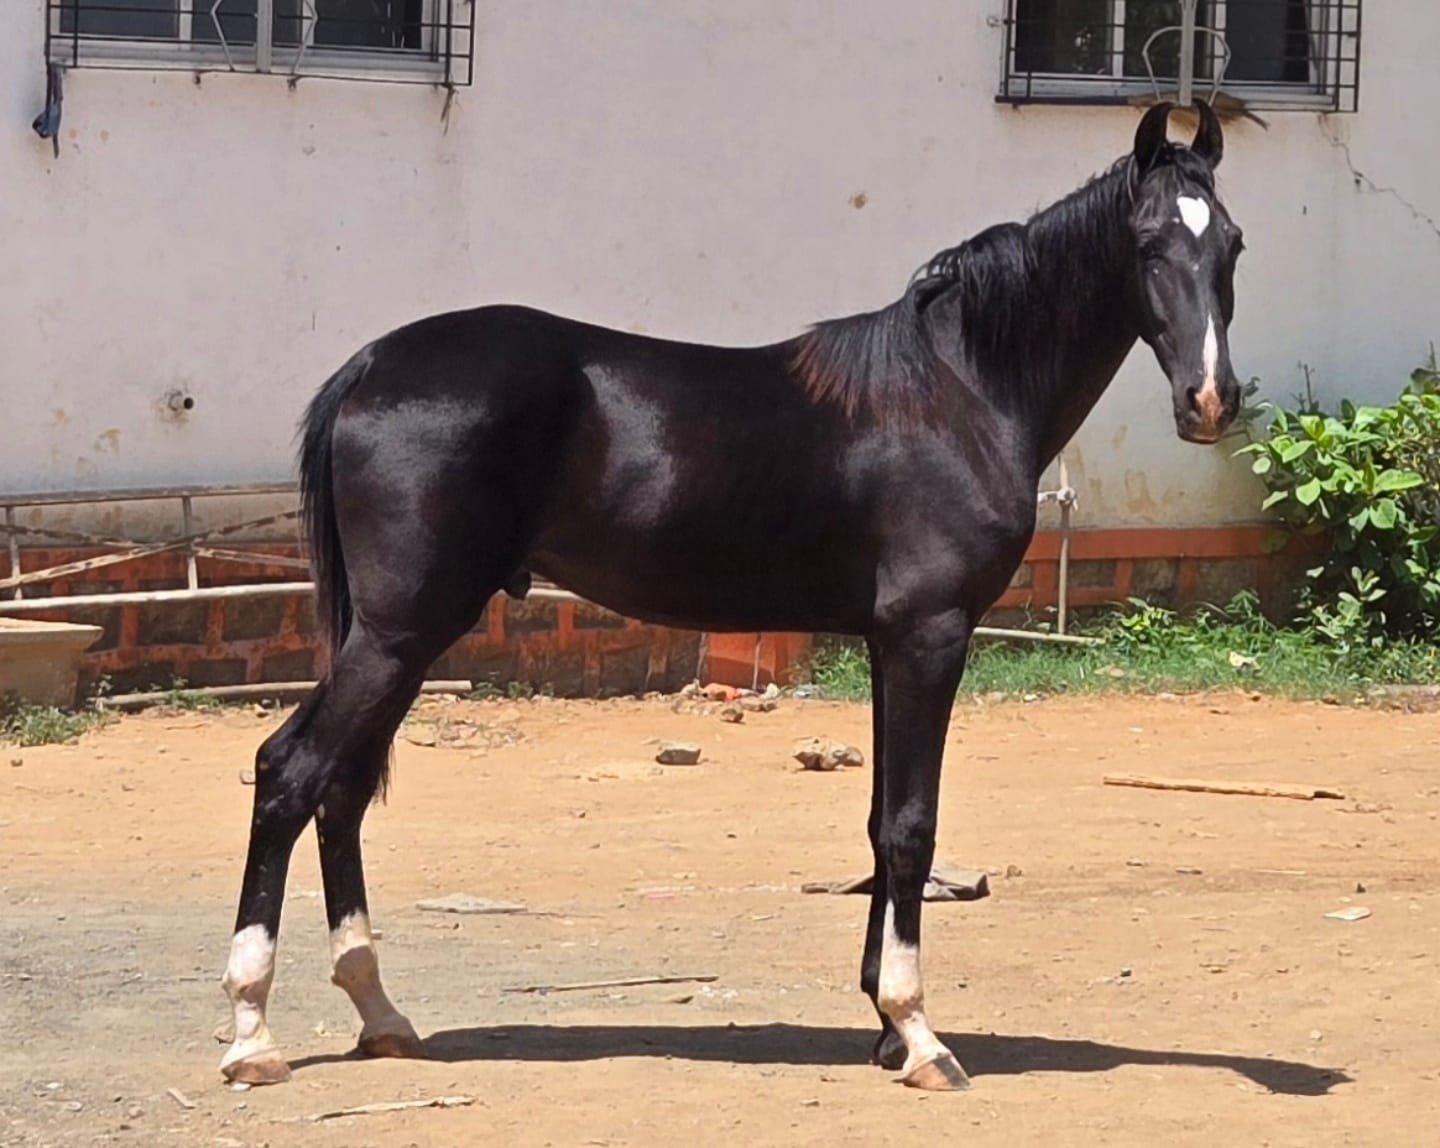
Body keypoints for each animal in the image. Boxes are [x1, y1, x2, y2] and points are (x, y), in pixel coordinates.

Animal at [218, 100, 1245, 1092]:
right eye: (1149, 244)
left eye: (1231, 243)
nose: (1210, 402)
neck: (956, 392)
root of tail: (372, 367)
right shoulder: (930, 635)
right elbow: (912, 827)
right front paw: (918, 1036)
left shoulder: (886, 644)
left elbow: (880, 825)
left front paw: (883, 1028)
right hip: (403, 631)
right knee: (291, 772)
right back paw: (253, 1035)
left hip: (403, 638)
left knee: (342, 790)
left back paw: (379, 1014)